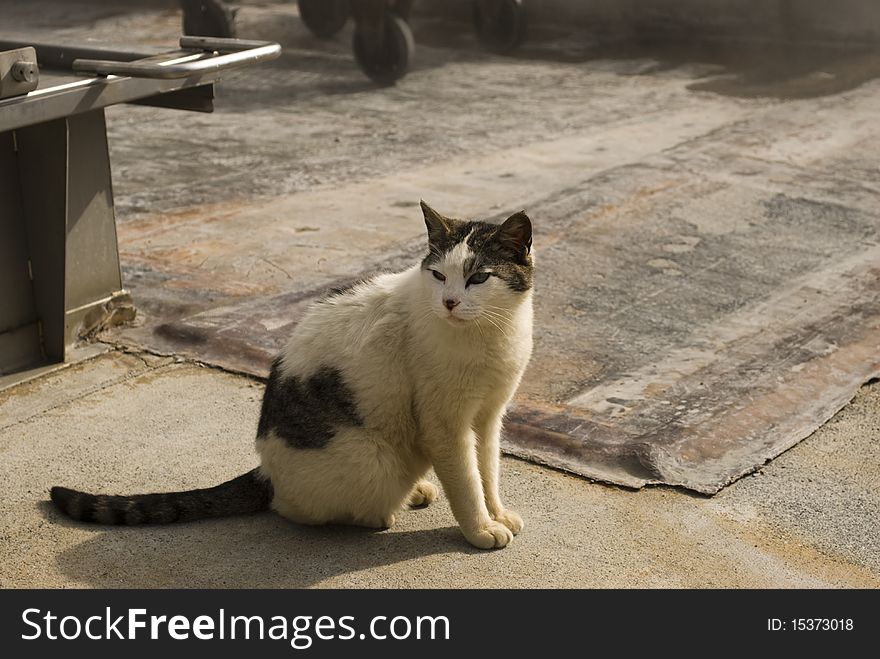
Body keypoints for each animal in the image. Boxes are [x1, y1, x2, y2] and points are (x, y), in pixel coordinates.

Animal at [55, 202, 540, 552]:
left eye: (478, 278)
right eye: (438, 275)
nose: (449, 302)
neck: (488, 334)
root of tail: (266, 471)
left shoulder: (488, 417)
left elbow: (487, 470)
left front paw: (496, 513)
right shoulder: (445, 426)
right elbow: (466, 481)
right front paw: (479, 529)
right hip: (373, 460)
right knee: (302, 509)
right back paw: (384, 510)